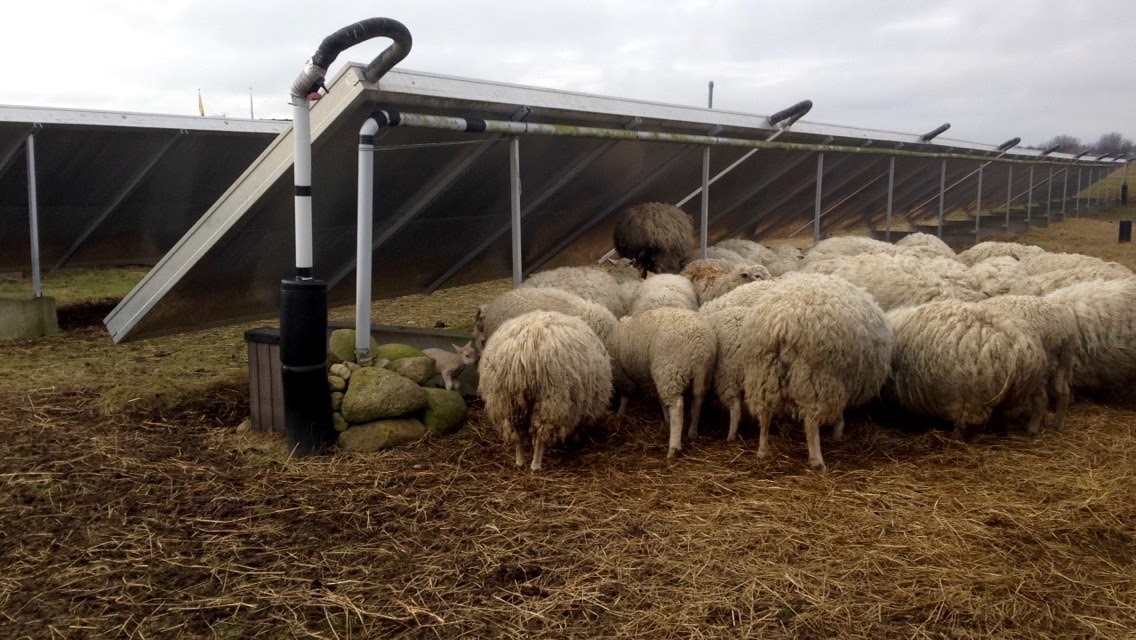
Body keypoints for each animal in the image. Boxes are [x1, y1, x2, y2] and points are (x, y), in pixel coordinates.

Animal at [478, 311, 613, 471]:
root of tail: (526, 350)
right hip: (551, 399)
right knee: (541, 435)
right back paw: (535, 465)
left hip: (506, 400)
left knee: (517, 434)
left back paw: (520, 461)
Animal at [608, 307, 717, 458]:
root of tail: (700, 349)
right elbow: (660, 400)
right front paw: (666, 419)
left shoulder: (623, 374)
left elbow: (625, 396)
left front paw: (620, 413)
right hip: (705, 374)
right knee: (698, 399)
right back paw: (692, 432)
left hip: (669, 370)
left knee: (677, 407)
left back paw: (674, 448)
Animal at [739, 273, 893, 470]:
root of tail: (782, 323)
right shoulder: (840, 382)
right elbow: (839, 415)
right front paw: (838, 432)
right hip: (816, 378)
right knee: (811, 422)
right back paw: (817, 461)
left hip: (762, 373)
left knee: (764, 413)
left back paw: (762, 451)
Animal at [886, 300, 1048, 437]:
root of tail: (1018, 348)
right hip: (1026, 388)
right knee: (1037, 402)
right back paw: (1030, 429)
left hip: (970, 400)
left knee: (966, 426)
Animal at [979, 296, 1079, 431]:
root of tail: (1063, 326)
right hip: (1064, 361)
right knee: (1064, 392)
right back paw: (1058, 424)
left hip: (1040, 367)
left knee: (1042, 399)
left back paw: (1032, 428)